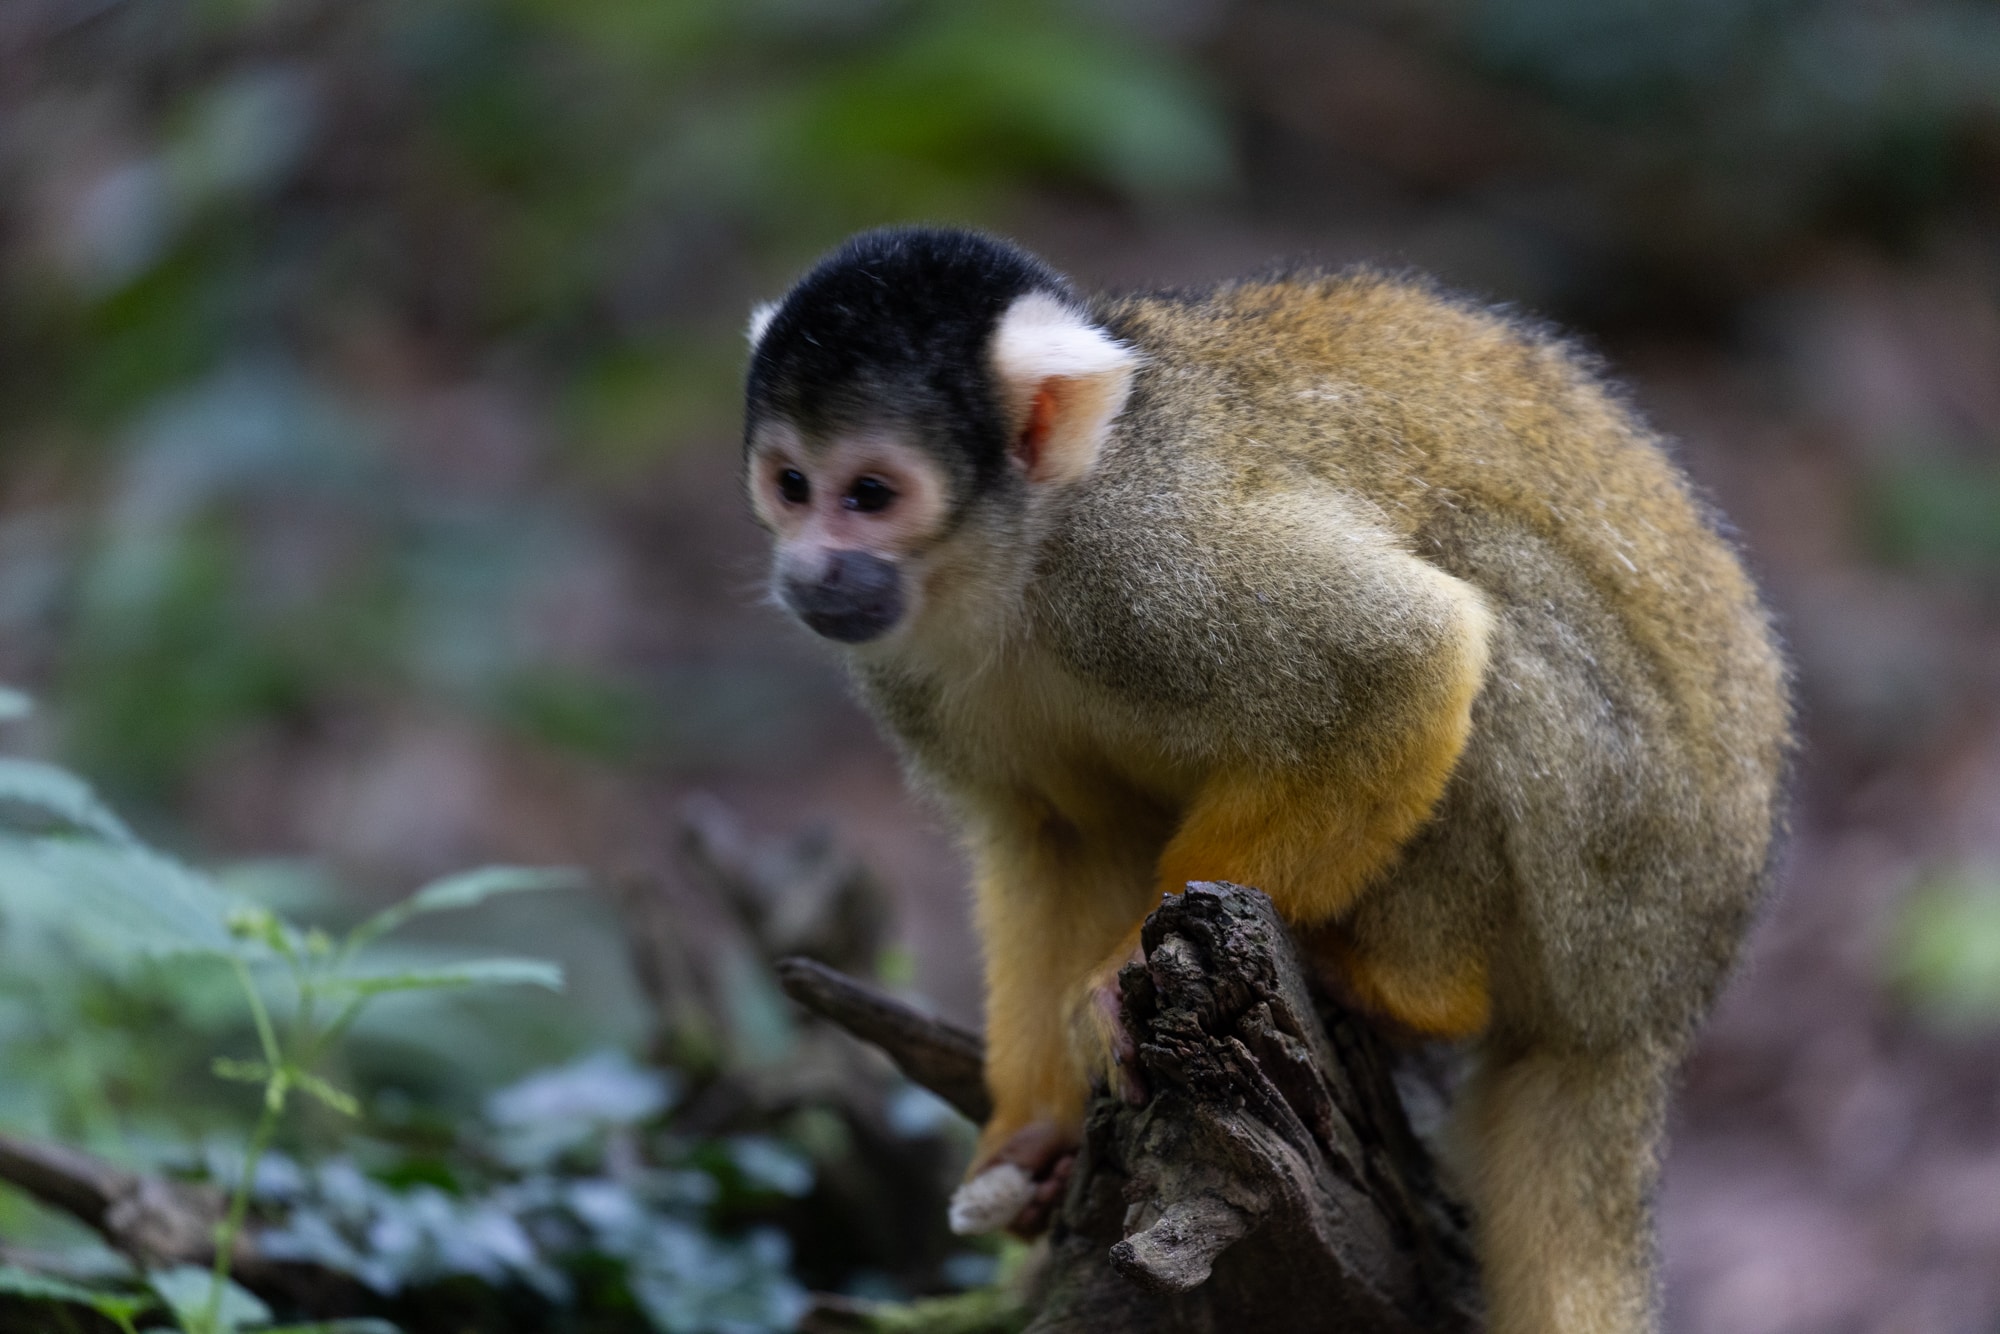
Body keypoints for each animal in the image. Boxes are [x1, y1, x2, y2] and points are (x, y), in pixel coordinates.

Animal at [744, 230, 1792, 1334]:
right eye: (790, 483)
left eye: (870, 494)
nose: (812, 571)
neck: (1017, 558)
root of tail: (1655, 1013)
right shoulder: (908, 665)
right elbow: (1050, 837)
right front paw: (1031, 1132)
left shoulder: (1148, 558)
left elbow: (1400, 659)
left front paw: (1117, 973)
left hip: (1613, 891)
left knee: (1485, 585)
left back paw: (1408, 991)